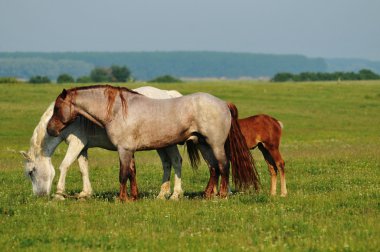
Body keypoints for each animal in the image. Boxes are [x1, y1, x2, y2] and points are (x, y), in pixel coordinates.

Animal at [20, 86, 184, 201]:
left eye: (31, 172)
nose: (39, 196)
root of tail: (169, 94)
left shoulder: (76, 144)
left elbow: (64, 165)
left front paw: (59, 194)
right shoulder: (83, 148)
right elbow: (83, 169)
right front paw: (85, 193)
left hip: (168, 144)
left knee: (176, 161)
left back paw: (175, 194)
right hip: (161, 144)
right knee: (166, 163)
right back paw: (162, 194)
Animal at [44, 84, 258, 201]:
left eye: (57, 107)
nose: (50, 129)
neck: (118, 110)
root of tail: (223, 103)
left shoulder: (124, 149)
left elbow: (123, 174)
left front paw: (122, 198)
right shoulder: (129, 150)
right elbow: (131, 172)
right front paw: (133, 197)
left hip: (215, 144)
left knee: (223, 166)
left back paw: (221, 195)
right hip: (203, 144)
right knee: (213, 168)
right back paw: (207, 195)